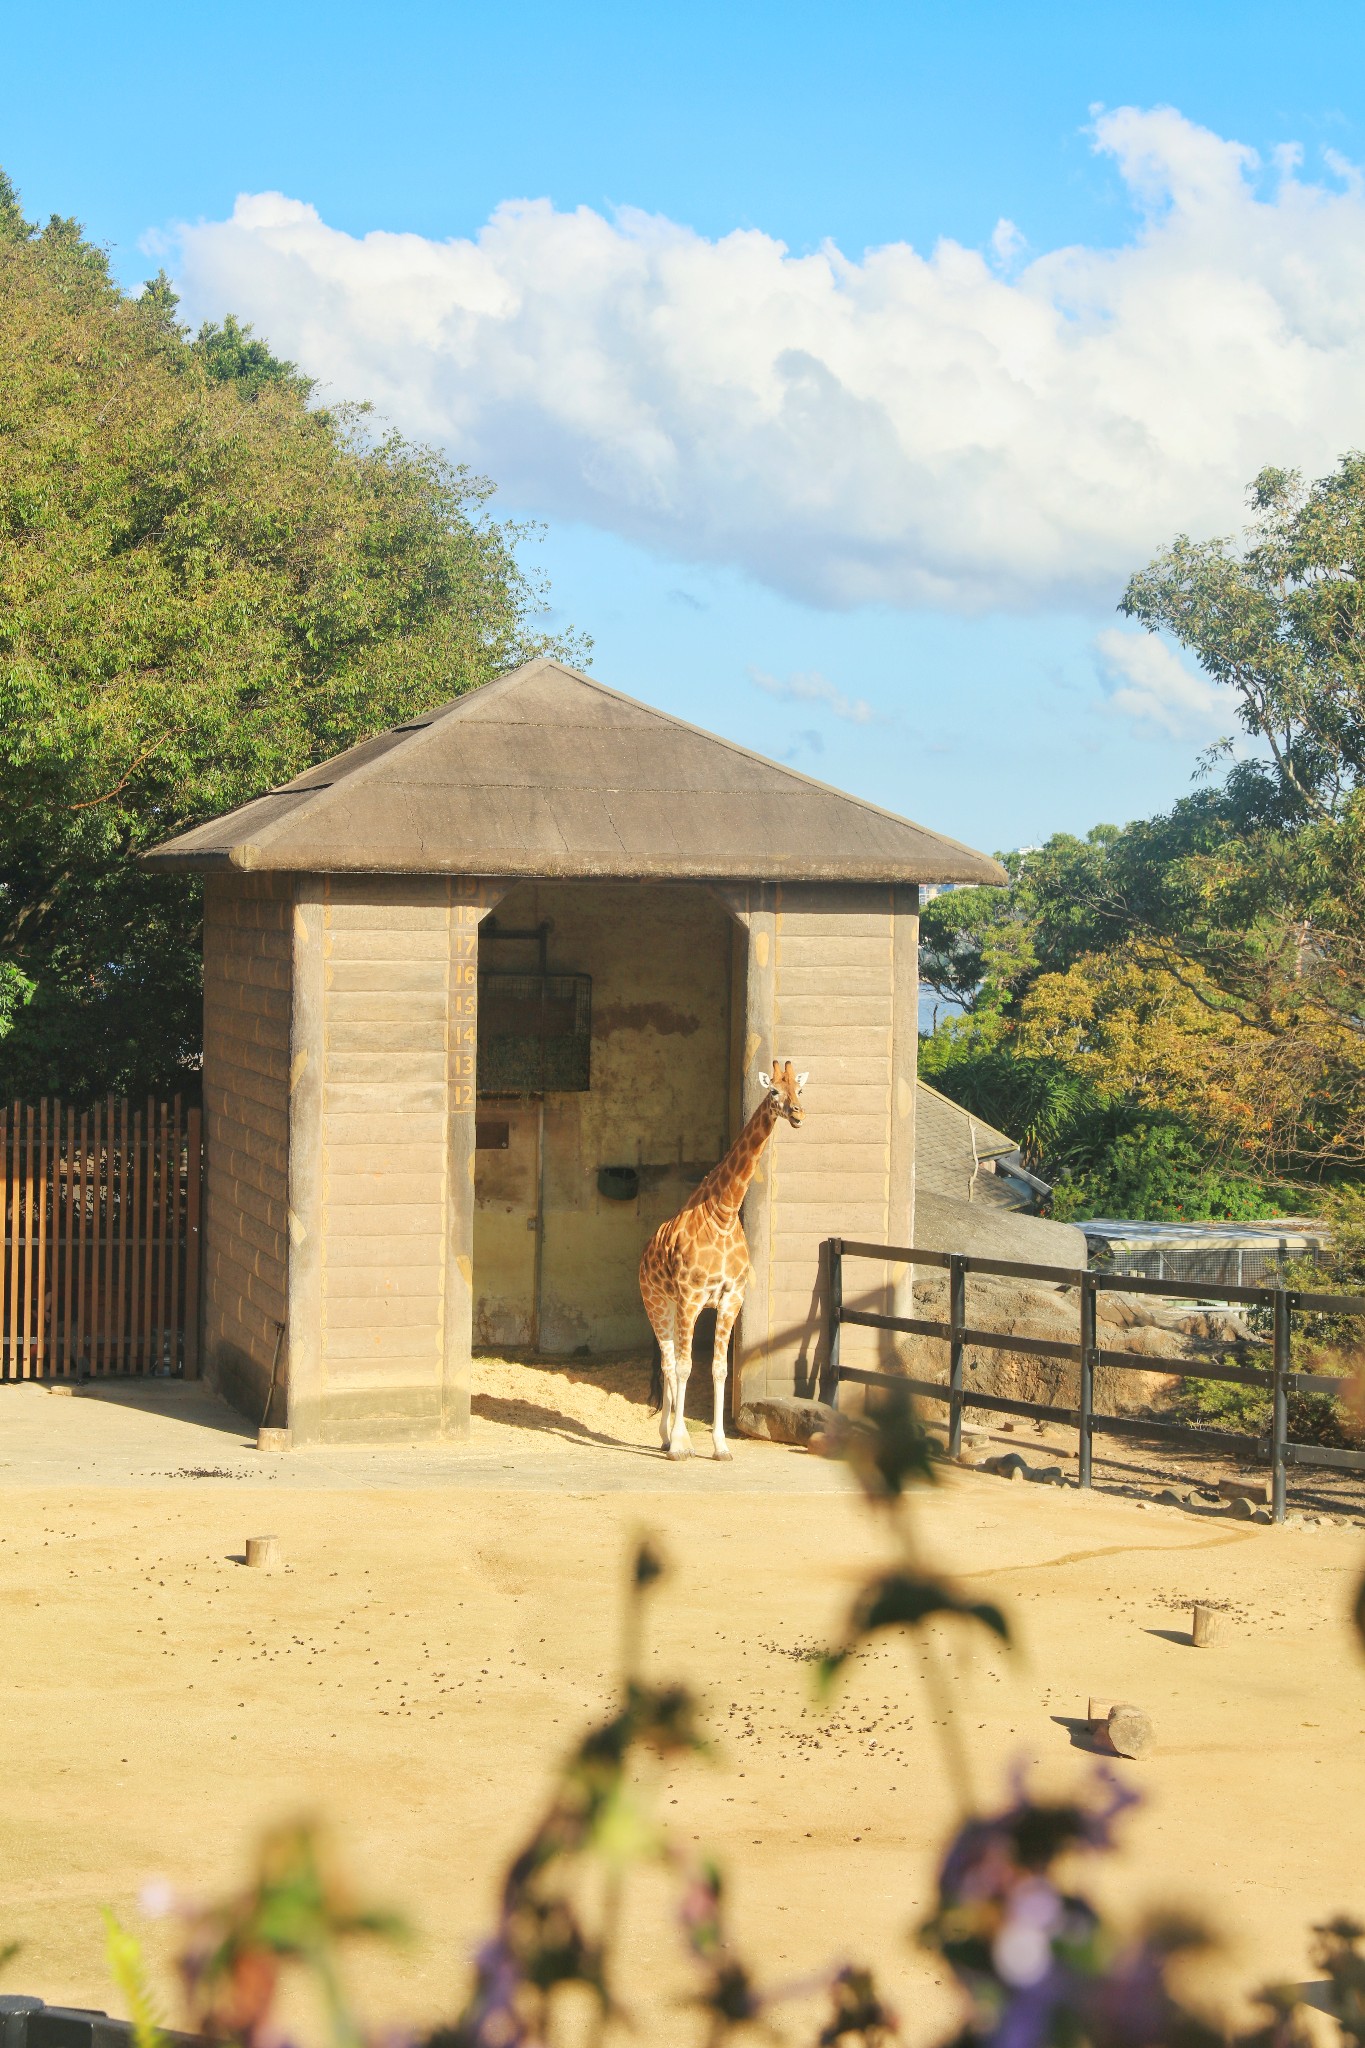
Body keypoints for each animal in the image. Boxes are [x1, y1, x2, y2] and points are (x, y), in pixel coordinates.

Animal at [642, 1056, 810, 1458]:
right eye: (773, 1091)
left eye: (800, 1088)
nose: (798, 1113)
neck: (724, 1213)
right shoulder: (691, 1298)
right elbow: (685, 1368)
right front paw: (681, 1445)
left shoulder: (732, 1298)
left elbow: (720, 1369)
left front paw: (719, 1446)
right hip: (656, 1302)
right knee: (669, 1364)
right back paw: (671, 1438)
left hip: (672, 1306)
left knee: (670, 1362)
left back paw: (667, 1435)